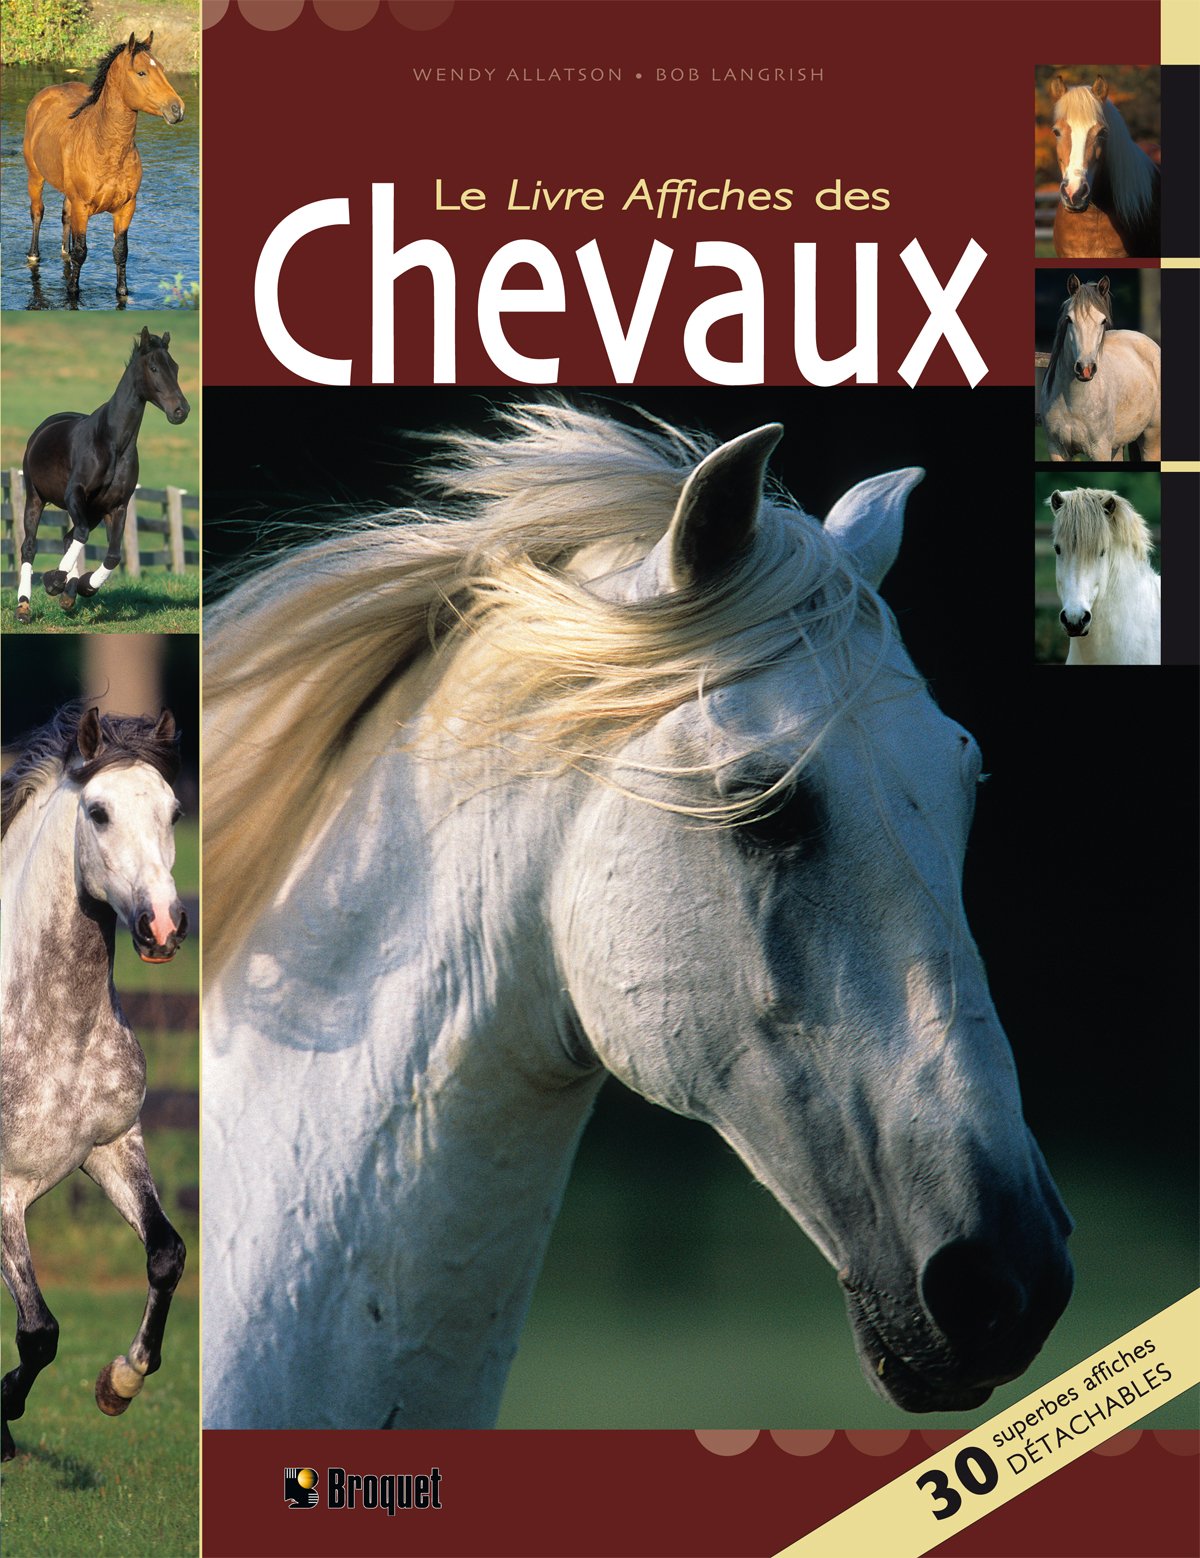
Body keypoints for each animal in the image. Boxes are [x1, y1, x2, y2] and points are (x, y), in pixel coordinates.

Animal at [15, 327, 190, 624]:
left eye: (175, 367)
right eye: (154, 367)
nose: (181, 410)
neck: (112, 442)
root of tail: (43, 428)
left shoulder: (117, 506)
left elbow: (113, 556)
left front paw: (83, 585)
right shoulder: (74, 494)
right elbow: (83, 535)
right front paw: (53, 580)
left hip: (93, 510)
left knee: (68, 538)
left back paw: (69, 595)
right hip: (36, 498)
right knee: (30, 546)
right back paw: (24, 606)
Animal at [23, 33, 185, 299]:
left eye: (161, 68)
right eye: (141, 72)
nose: (177, 109)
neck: (105, 149)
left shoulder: (126, 208)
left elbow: (120, 251)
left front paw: (123, 291)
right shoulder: (82, 207)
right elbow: (81, 252)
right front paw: (73, 291)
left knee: (65, 219)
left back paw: (64, 251)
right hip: (35, 176)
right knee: (38, 213)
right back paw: (34, 255)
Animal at [1039, 275, 1161, 462]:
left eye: (1103, 321)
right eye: (1069, 319)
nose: (1085, 368)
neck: (1072, 401)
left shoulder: (1100, 449)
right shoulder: (1056, 449)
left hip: (1151, 440)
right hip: (1117, 446)